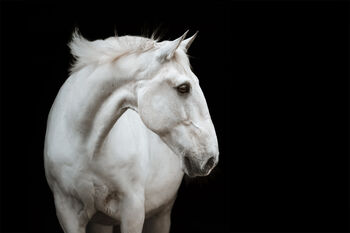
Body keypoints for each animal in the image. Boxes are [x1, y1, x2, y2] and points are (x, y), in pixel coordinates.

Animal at [43, 29, 219, 233]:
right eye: (183, 87)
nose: (210, 159)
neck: (85, 146)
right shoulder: (66, 212)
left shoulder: (133, 210)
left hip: (161, 213)